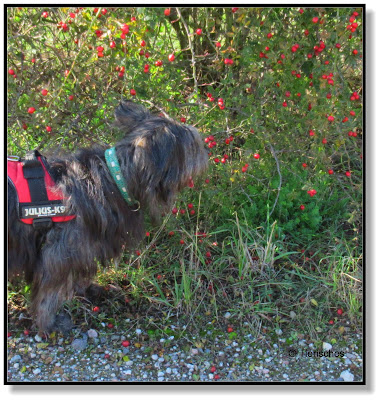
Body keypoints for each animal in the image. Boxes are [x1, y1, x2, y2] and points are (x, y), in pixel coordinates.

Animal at [8, 101, 208, 332]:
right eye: (195, 143)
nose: (208, 150)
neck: (114, 176)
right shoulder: (58, 252)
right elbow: (48, 292)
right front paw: (48, 323)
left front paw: (88, 290)